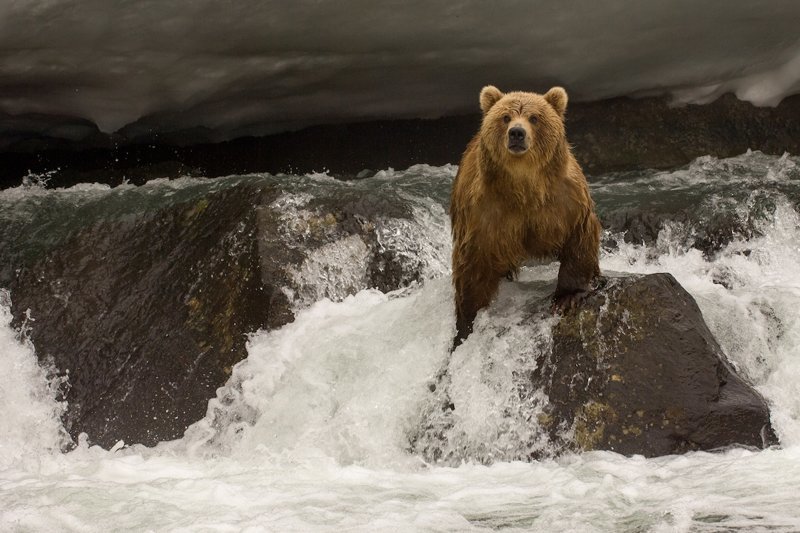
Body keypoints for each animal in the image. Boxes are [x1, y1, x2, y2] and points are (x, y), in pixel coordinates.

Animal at [450, 84, 600, 344]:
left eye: (534, 118)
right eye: (505, 117)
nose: (517, 133)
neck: (524, 187)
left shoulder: (566, 200)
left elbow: (579, 240)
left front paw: (567, 297)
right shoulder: (484, 213)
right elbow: (472, 265)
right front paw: (466, 322)